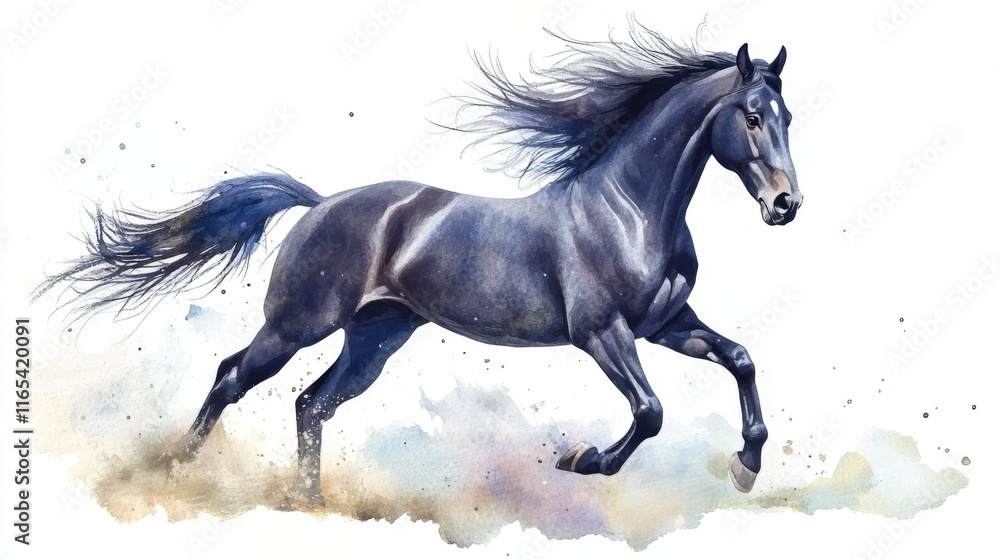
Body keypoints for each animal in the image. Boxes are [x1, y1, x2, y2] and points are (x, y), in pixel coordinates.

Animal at [37, 28, 801, 502]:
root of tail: (319, 204)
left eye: (788, 116)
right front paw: (581, 460)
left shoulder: (665, 324)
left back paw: (307, 502)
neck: (629, 210)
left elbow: (740, 359)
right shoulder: (602, 333)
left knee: (312, 403)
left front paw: (746, 464)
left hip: (376, 338)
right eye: (751, 115)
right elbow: (650, 411)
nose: (786, 205)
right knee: (233, 378)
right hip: (296, 326)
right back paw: (175, 470)